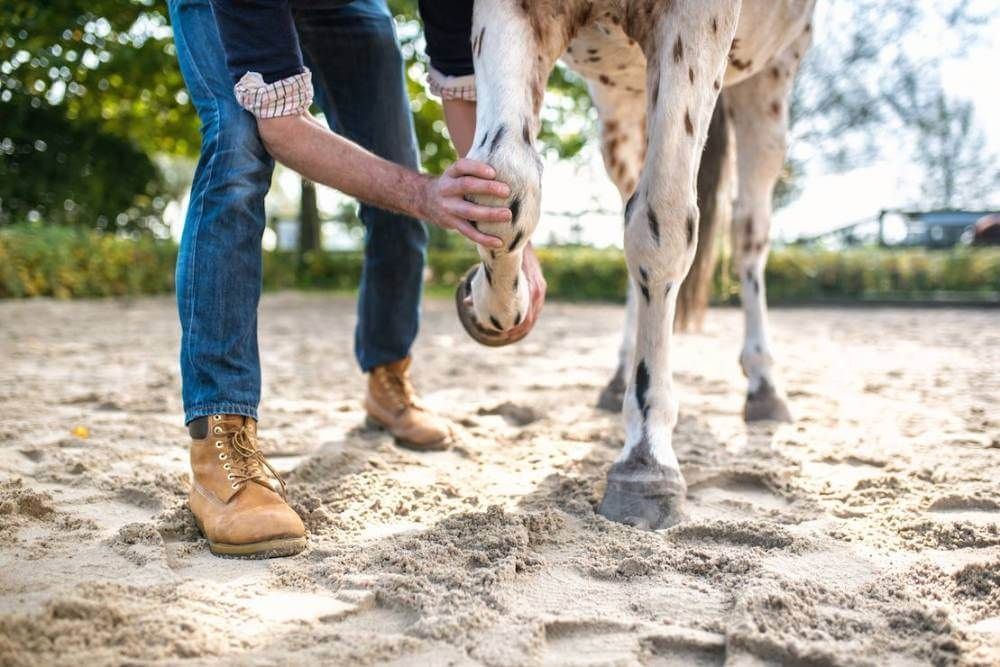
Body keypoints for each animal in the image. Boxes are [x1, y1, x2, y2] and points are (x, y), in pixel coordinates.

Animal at [458, 1, 816, 532]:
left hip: (770, 78)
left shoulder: (698, 22)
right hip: (620, 102)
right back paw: (618, 377)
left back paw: (764, 386)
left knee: (748, 230)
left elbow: (660, 226)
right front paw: (493, 305)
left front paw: (646, 458)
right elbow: (504, 182)